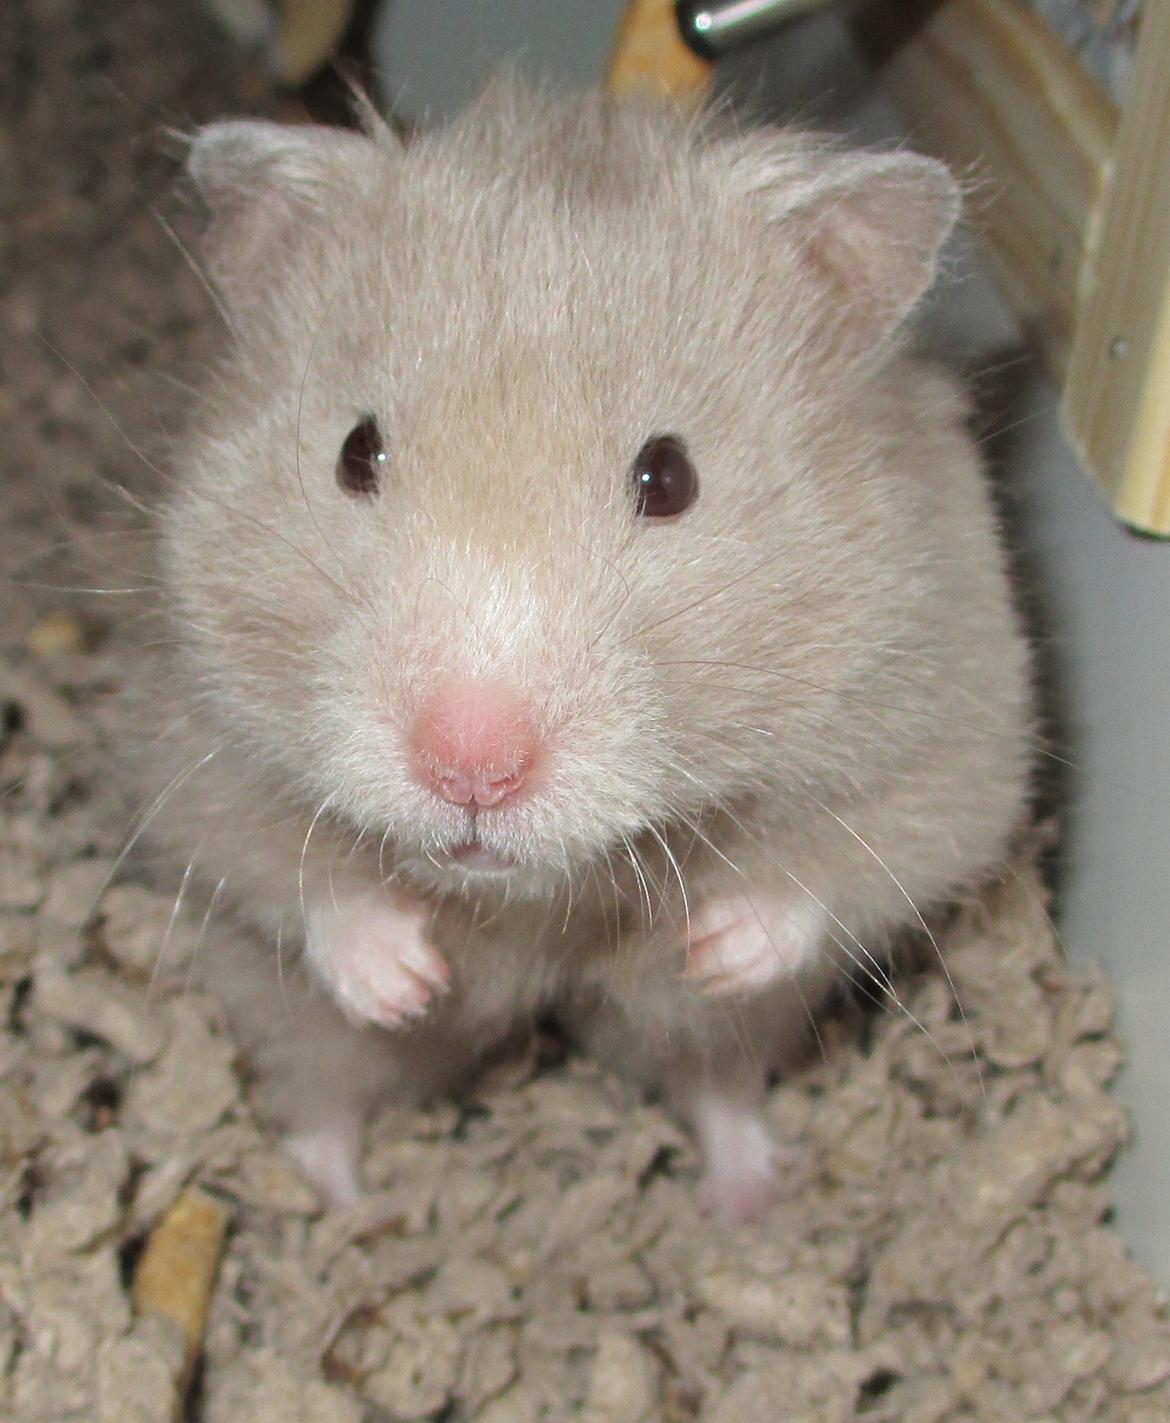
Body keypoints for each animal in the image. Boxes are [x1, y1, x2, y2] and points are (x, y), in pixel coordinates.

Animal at [132, 82, 1032, 1224]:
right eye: (355, 452)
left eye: (670, 476)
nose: (471, 767)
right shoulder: (189, 727)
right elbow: (278, 868)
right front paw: (408, 972)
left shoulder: (954, 711)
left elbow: (865, 858)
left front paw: (715, 944)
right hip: (296, 1019)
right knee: (324, 1094)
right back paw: (351, 1205)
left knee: (717, 1078)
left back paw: (746, 1199)